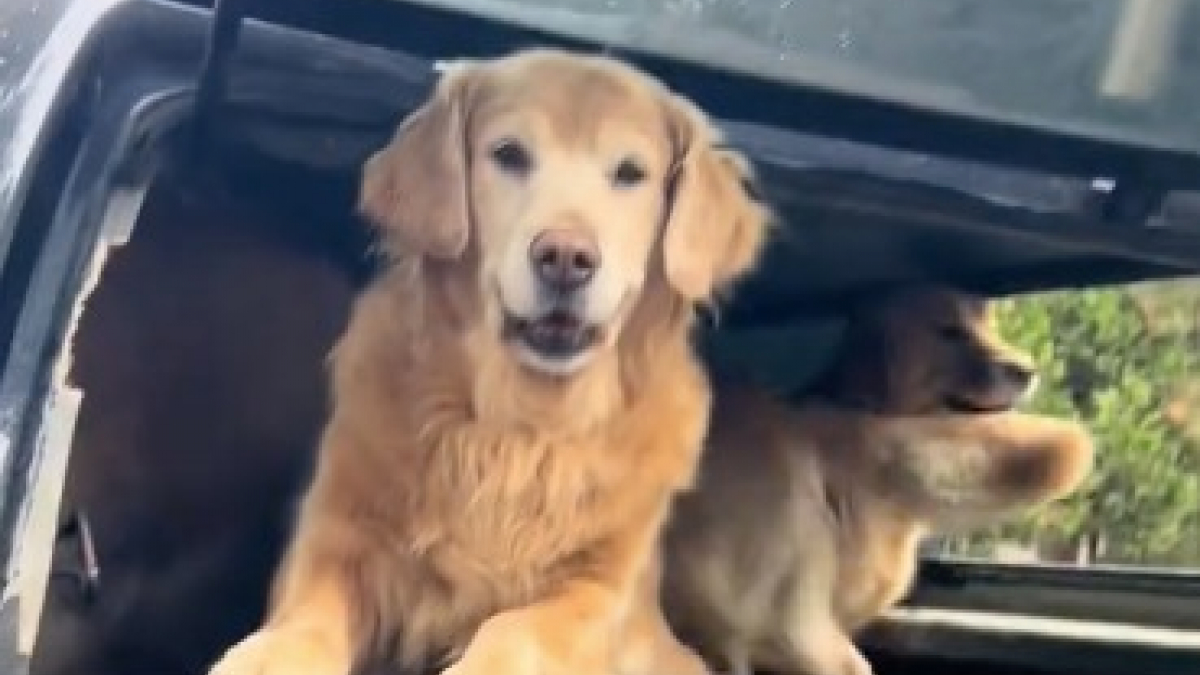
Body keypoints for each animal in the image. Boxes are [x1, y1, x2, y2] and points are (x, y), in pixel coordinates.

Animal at [206, 48, 768, 672]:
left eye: (630, 172)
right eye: (509, 154)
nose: (565, 257)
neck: (519, 427)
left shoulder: (598, 592)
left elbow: (515, 629)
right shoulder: (337, 539)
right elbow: (301, 626)